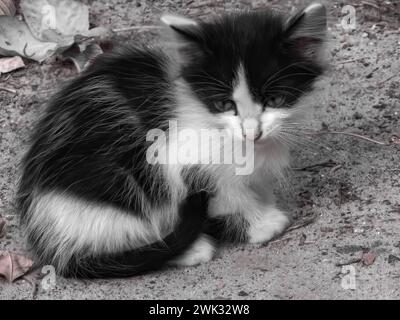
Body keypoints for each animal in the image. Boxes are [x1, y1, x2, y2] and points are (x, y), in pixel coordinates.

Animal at [17, 3, 326, 278]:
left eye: (275, 100)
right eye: (224, 104)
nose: (252, 133)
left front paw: (263, 201)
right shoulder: (179, 157)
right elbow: (228, 194)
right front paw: (259, 224)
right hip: (115, 189)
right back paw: (187, 249)